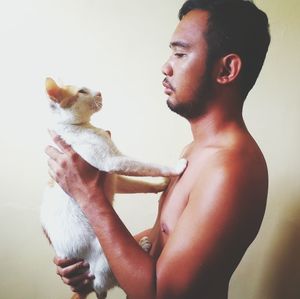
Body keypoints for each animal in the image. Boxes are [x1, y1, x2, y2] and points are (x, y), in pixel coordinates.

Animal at [40, 78, 186, 299]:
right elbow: (146, 166)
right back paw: (142, 247)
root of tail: (88, 287)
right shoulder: (113, 161)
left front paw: (160, 185)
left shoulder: (114, 177)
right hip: (105, 255)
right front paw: (176, 169)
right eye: (82, 91)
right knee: (117, 283)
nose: (100, 92)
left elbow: (139, 184)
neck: (81, 127)